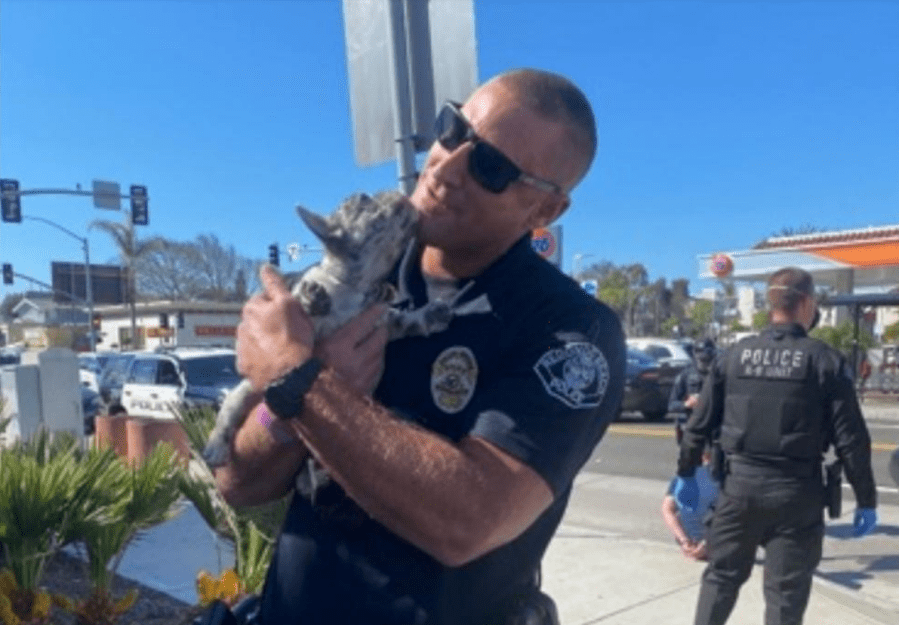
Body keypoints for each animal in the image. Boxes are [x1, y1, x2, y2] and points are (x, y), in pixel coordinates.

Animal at [676, 266, 880, 620]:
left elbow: (699, 423)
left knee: (721, 577)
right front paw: (866, 513)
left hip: (735, 516)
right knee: (787, 587)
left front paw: (685, 489)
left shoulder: (716, 375)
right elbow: (852, 439)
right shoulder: (840, 375)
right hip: (795, 526)